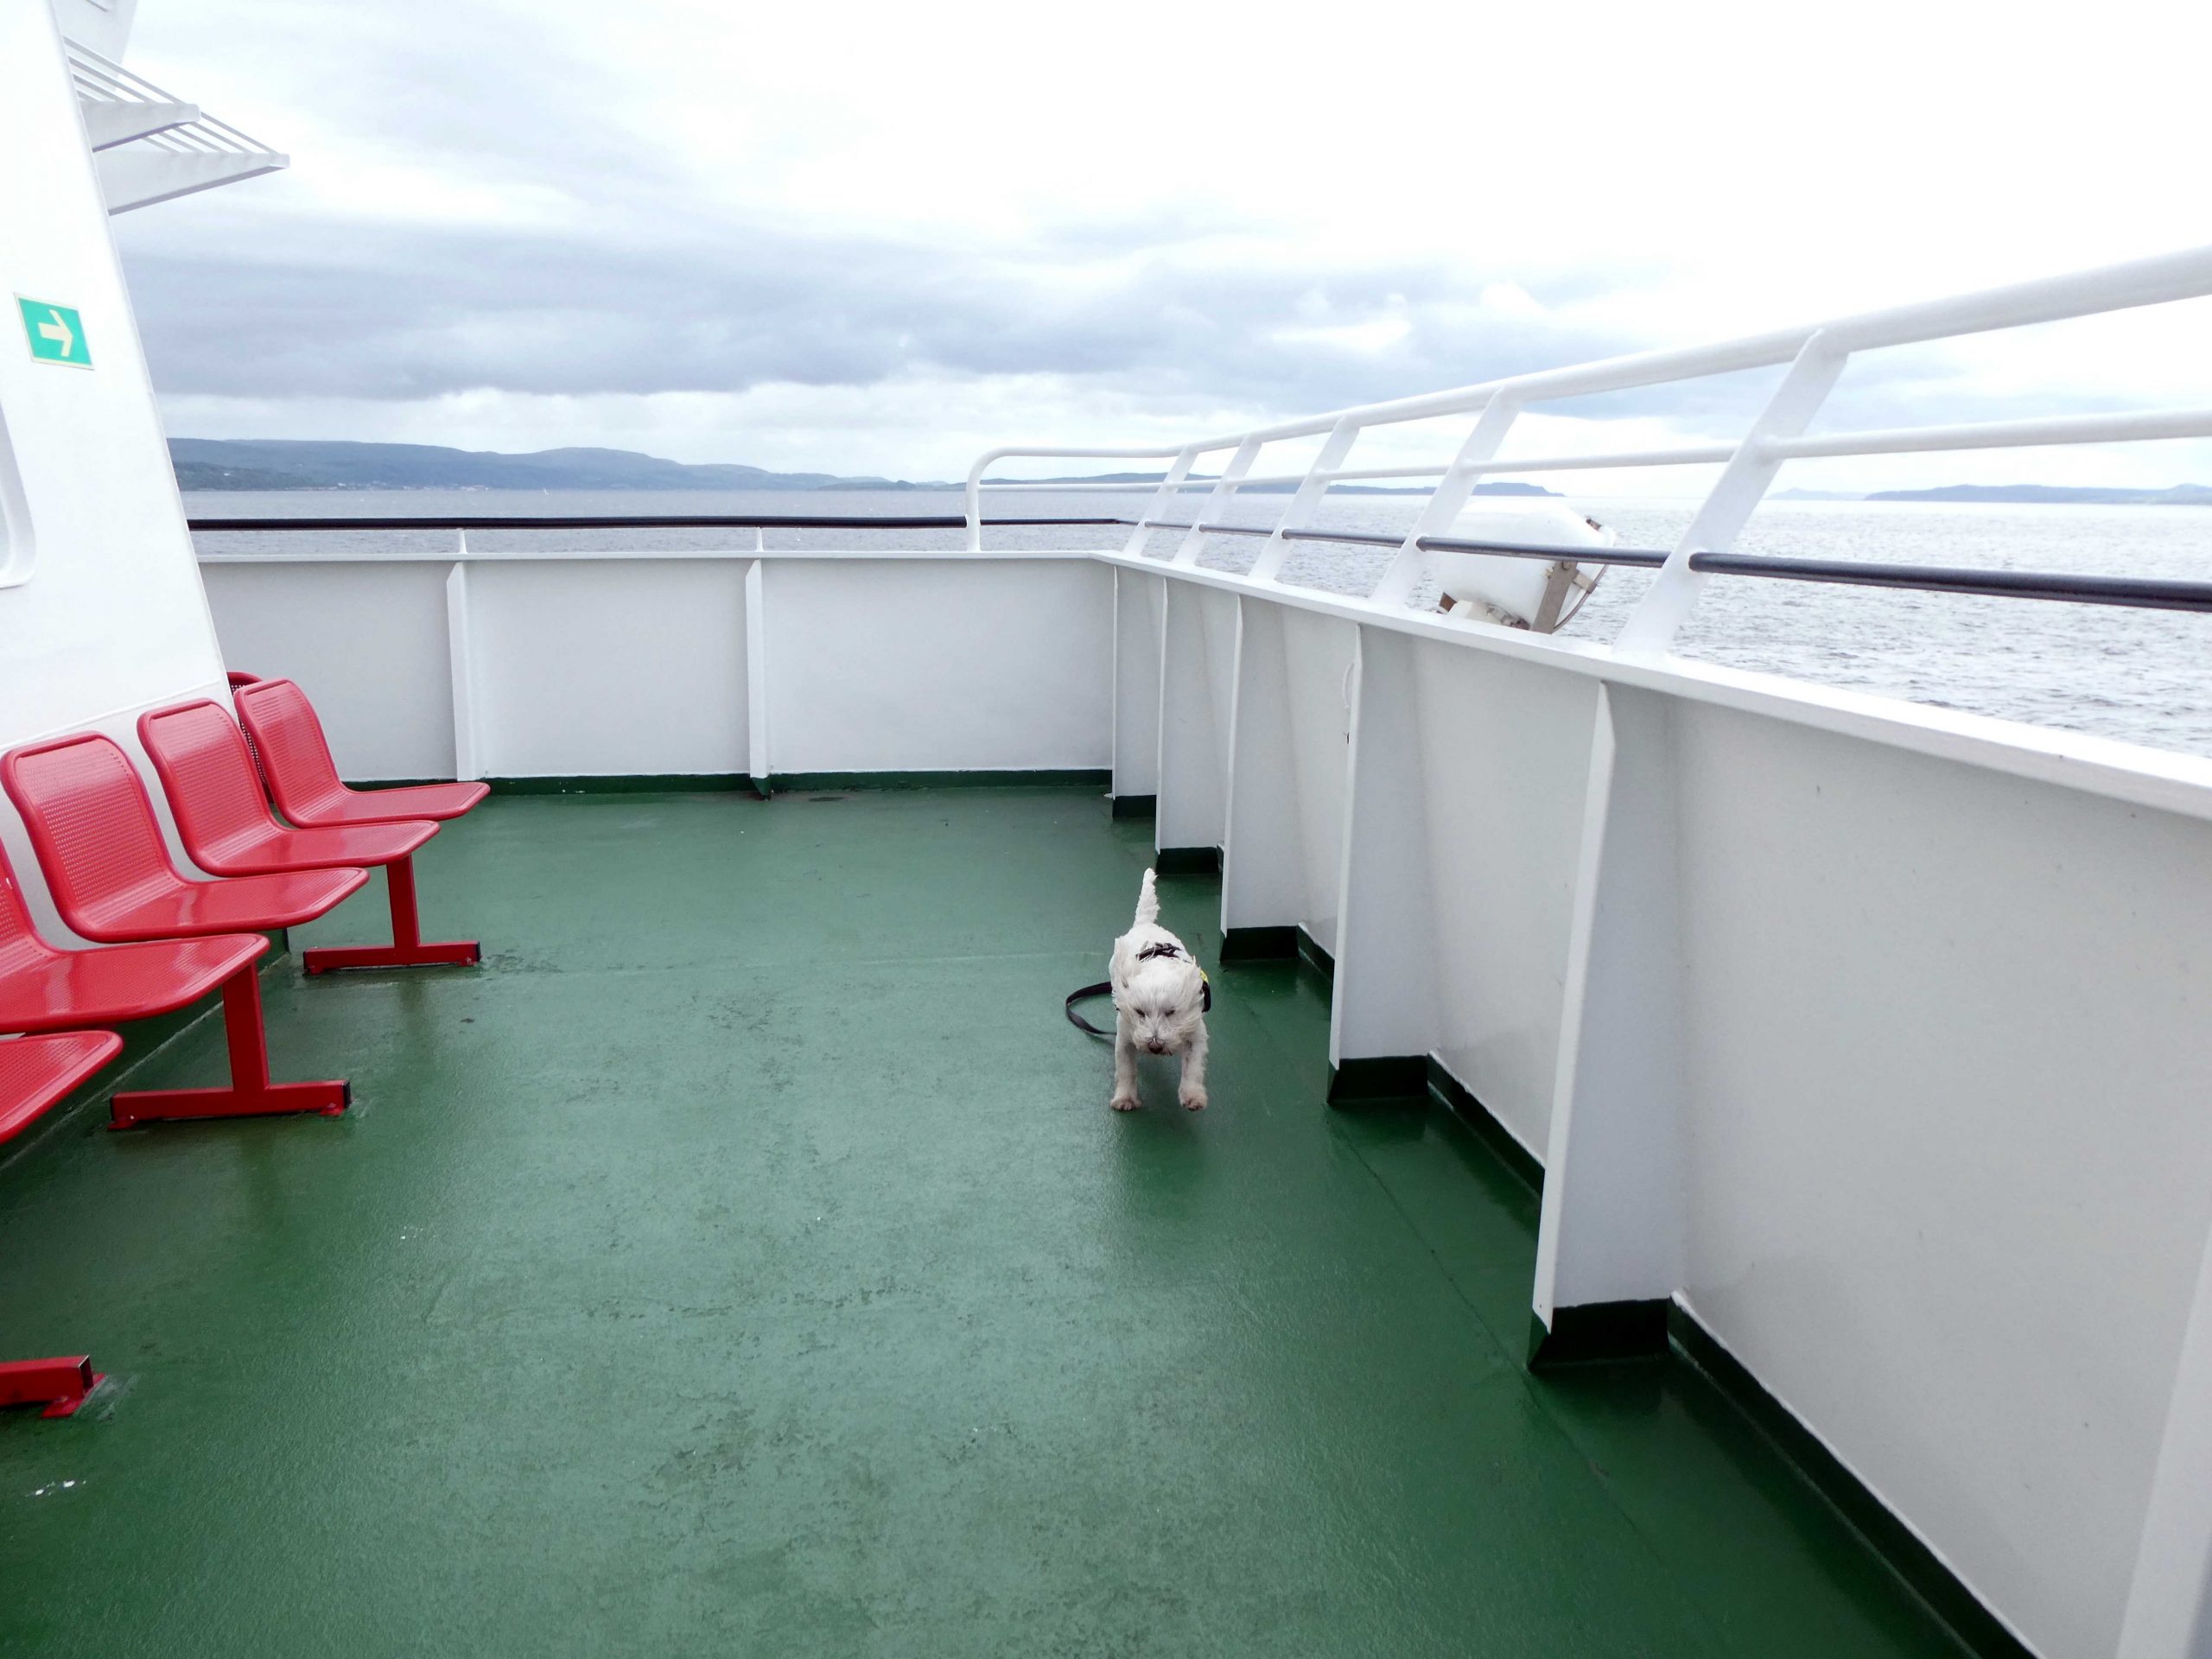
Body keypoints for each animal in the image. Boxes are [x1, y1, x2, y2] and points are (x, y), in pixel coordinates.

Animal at [1106, 871, 1211, 1119]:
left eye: (1171, 1012)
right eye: (1139, 1012)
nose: (1154, 1046)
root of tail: (1145, 923)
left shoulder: (1196, 1032)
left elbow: (1193, 1067)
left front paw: (1193, 1097)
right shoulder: (1125, 1036)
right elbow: (1126, 1069)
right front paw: (1125, 1099)